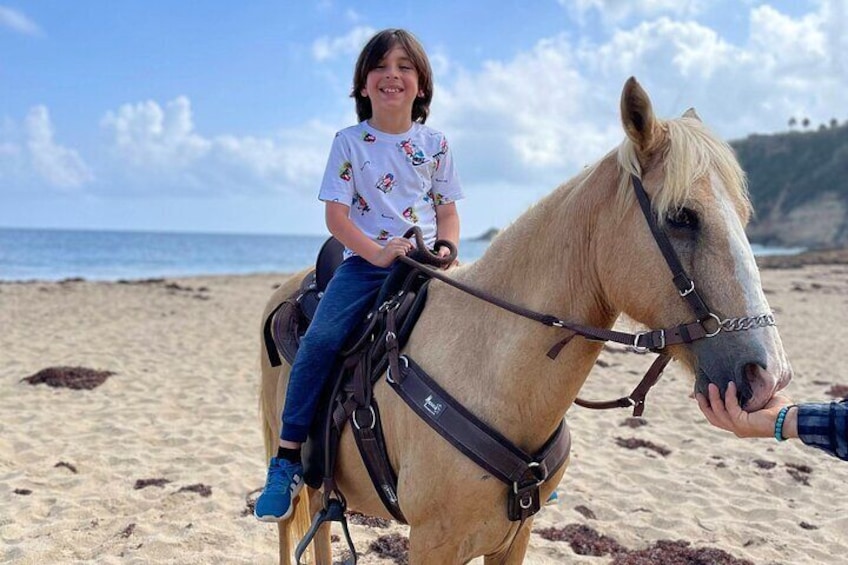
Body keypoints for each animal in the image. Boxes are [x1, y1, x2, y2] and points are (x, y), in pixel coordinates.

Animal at [258, 76, 796, 564]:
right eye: (683, 216)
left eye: (745, 215)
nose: (767, 375)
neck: (488, 369)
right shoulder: (433, 542)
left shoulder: (514, 537)